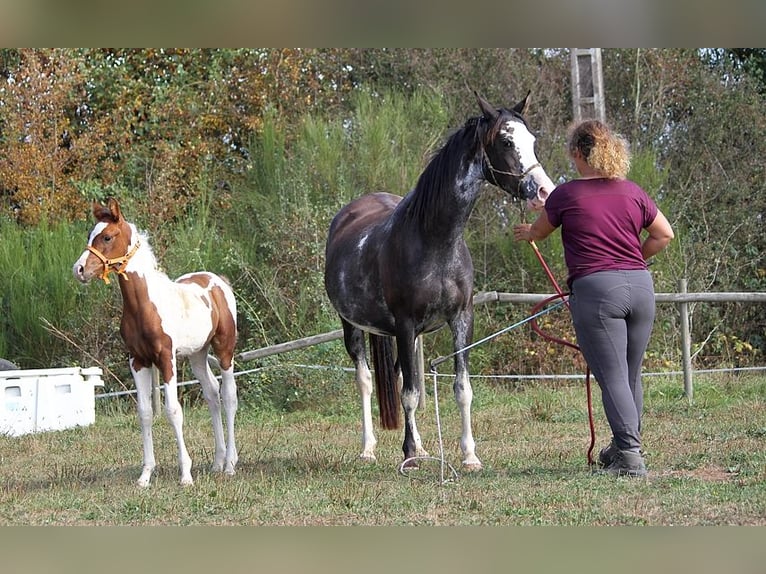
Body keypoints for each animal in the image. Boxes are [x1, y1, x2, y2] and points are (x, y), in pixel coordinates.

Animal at [74, 200, 240, 488]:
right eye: (89, 235)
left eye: (107, 237)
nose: (79, 269)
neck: (144, 305)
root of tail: (220, 281)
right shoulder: (138, 360)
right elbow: (145, 413)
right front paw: (145, 475)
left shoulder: (166, 358)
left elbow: (173, 410)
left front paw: (185, 474)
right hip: (197, 354)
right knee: (211, 393)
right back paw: (217, 463)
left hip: (224, 349)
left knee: (229, 395)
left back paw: (230, 464)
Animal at [322, 92, 552, 470]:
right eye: (506, 142)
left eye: (532, 141)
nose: (545, 192)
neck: (435, 240)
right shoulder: (404, 324)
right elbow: (410, 394)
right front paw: (409, 457)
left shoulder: (461, 319)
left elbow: (461, 389)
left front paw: (468, 455)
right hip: (354, 326)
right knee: (366, 381)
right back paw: (369, 449)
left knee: (400, 376)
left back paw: (419, 444)